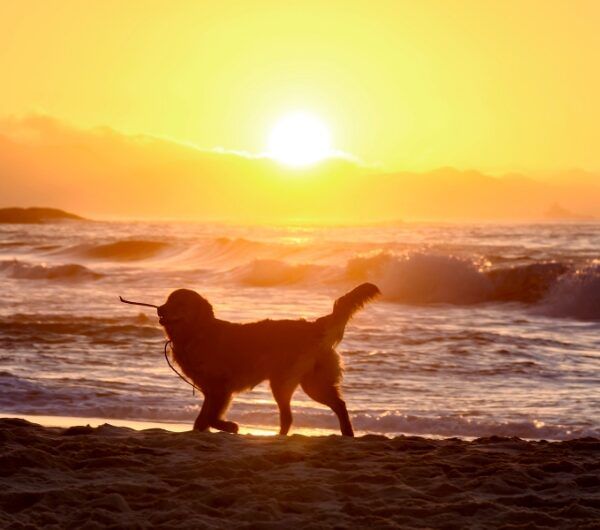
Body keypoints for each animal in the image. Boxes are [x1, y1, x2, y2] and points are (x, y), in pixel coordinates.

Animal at [156, 282, 380, 436]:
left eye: (180, 302)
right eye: (168, 300)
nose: (159, 308)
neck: (196, 332)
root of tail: (313, 326)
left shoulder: (221, 388)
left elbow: (210, 417)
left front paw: (230, 426)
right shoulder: (211, 391)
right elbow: (202, 420)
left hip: (288, 383)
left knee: (296, 415)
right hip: (310, 383)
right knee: (332, 407)